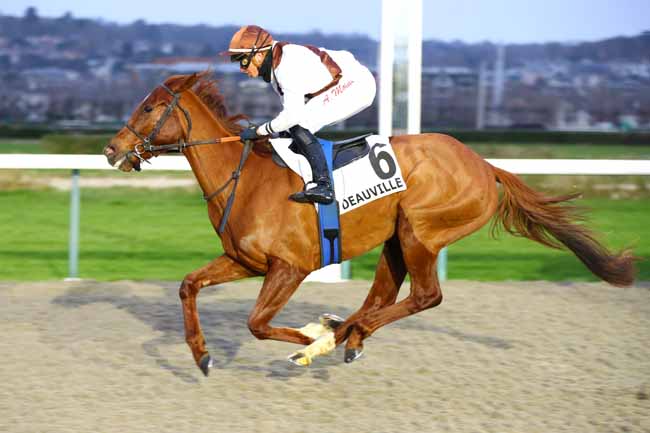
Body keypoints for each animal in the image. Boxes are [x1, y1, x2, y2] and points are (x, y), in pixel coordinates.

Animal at [105, 73, 632, 374]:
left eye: (150, 107)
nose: (112, 150)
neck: (247, 177)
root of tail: (485, 165)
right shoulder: (243, 260)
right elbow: (188, 285)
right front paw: (201, 354)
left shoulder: (289, 267)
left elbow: (257, 323)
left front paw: (309, 342)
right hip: (396, 238)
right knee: (381, 296)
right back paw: (346, 332)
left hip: (421, 232)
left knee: (424, 296)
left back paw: (334, 337)